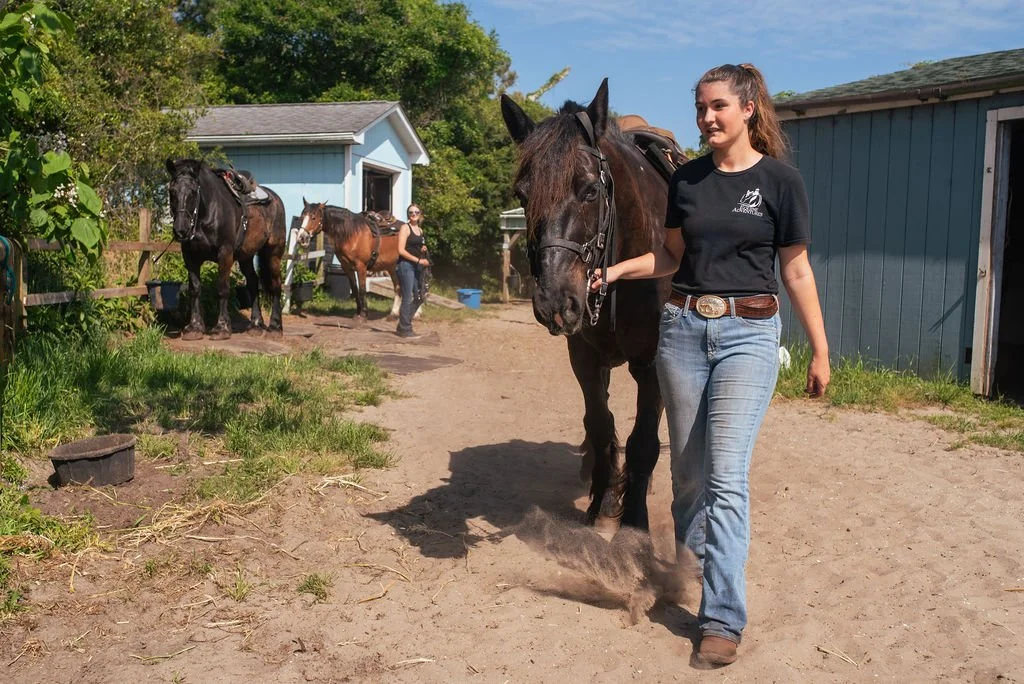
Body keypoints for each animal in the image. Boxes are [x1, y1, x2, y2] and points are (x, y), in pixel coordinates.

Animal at [165, 159, 287, 340]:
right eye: (172, 191)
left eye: (193, 191)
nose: (181, 229)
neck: (207, 212)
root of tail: (276, 199)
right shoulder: (190, 256)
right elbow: (195, 289)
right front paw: (194, 327)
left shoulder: (225, 254)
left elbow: (222, 288)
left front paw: (222, 327)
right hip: (246, 256)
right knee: (253, 282)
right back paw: (256, 324)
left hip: (274, 253)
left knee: (276, 285)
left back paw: (275, 327)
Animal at [501, 79, 681, 531]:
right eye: (521, 194)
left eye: (590, 190)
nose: (554, 301)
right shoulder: (584, 356)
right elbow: (600, 426)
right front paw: (602, 499)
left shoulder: (653, 364)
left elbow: (643, 442)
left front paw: (634, 522)